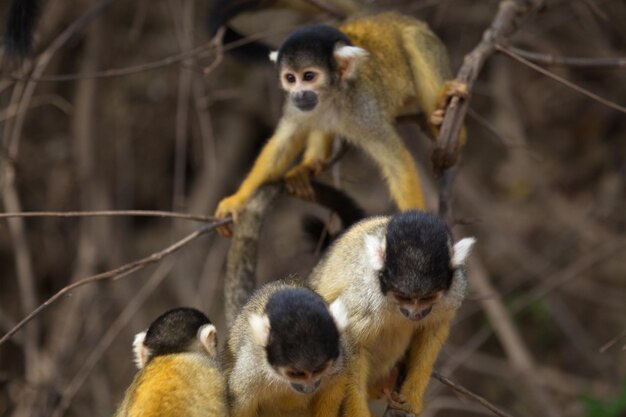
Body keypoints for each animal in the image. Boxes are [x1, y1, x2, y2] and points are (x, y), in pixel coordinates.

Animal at [214, 12, 464, 234]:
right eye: (290, 78)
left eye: (308, 76)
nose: (298, 94)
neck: (332, 96)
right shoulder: (296, 106)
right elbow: (284, 142)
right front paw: (236, 200)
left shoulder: (364, 109)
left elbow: (396, 161)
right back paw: (310, 164)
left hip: (429, 50)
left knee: (414, 39)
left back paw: (443, 121)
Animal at [223, 278, 352, 416]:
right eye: (297, 374)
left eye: (319, 369)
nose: (309, 388)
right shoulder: (251, 367)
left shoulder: (339, 359)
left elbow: (336, 382)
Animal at [308, 211, 472, 416]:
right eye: (403, 297)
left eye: (427, 297)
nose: (415, 313)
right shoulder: (366, 295)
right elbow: (350, 341)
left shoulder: (454, 290)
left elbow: (433, 329)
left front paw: (411, 397)